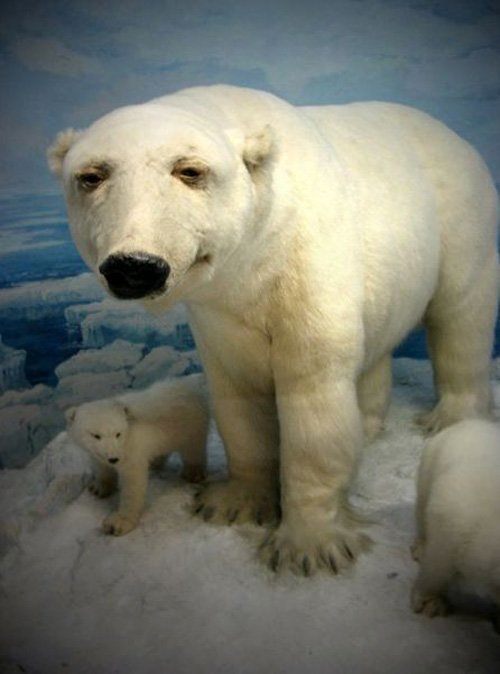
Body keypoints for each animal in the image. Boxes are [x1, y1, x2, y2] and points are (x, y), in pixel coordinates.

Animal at [66, 373, 209, 535]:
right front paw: (98, 488)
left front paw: (118, 523)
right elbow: (102, 467)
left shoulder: (131, 449)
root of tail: (191, 384)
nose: (113, 458)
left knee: (193, 448)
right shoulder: (97, 453)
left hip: (190, 424)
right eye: (96, 435)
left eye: (118, 433)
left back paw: (193, 473)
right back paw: (155, 463)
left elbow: (132, 484)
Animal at [411, 419, 500, 630]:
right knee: (422, 509)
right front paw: (430, 602)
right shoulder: (454, 526)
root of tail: (470, 422)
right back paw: (420, 547)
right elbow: (436, 566)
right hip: (428, 464)